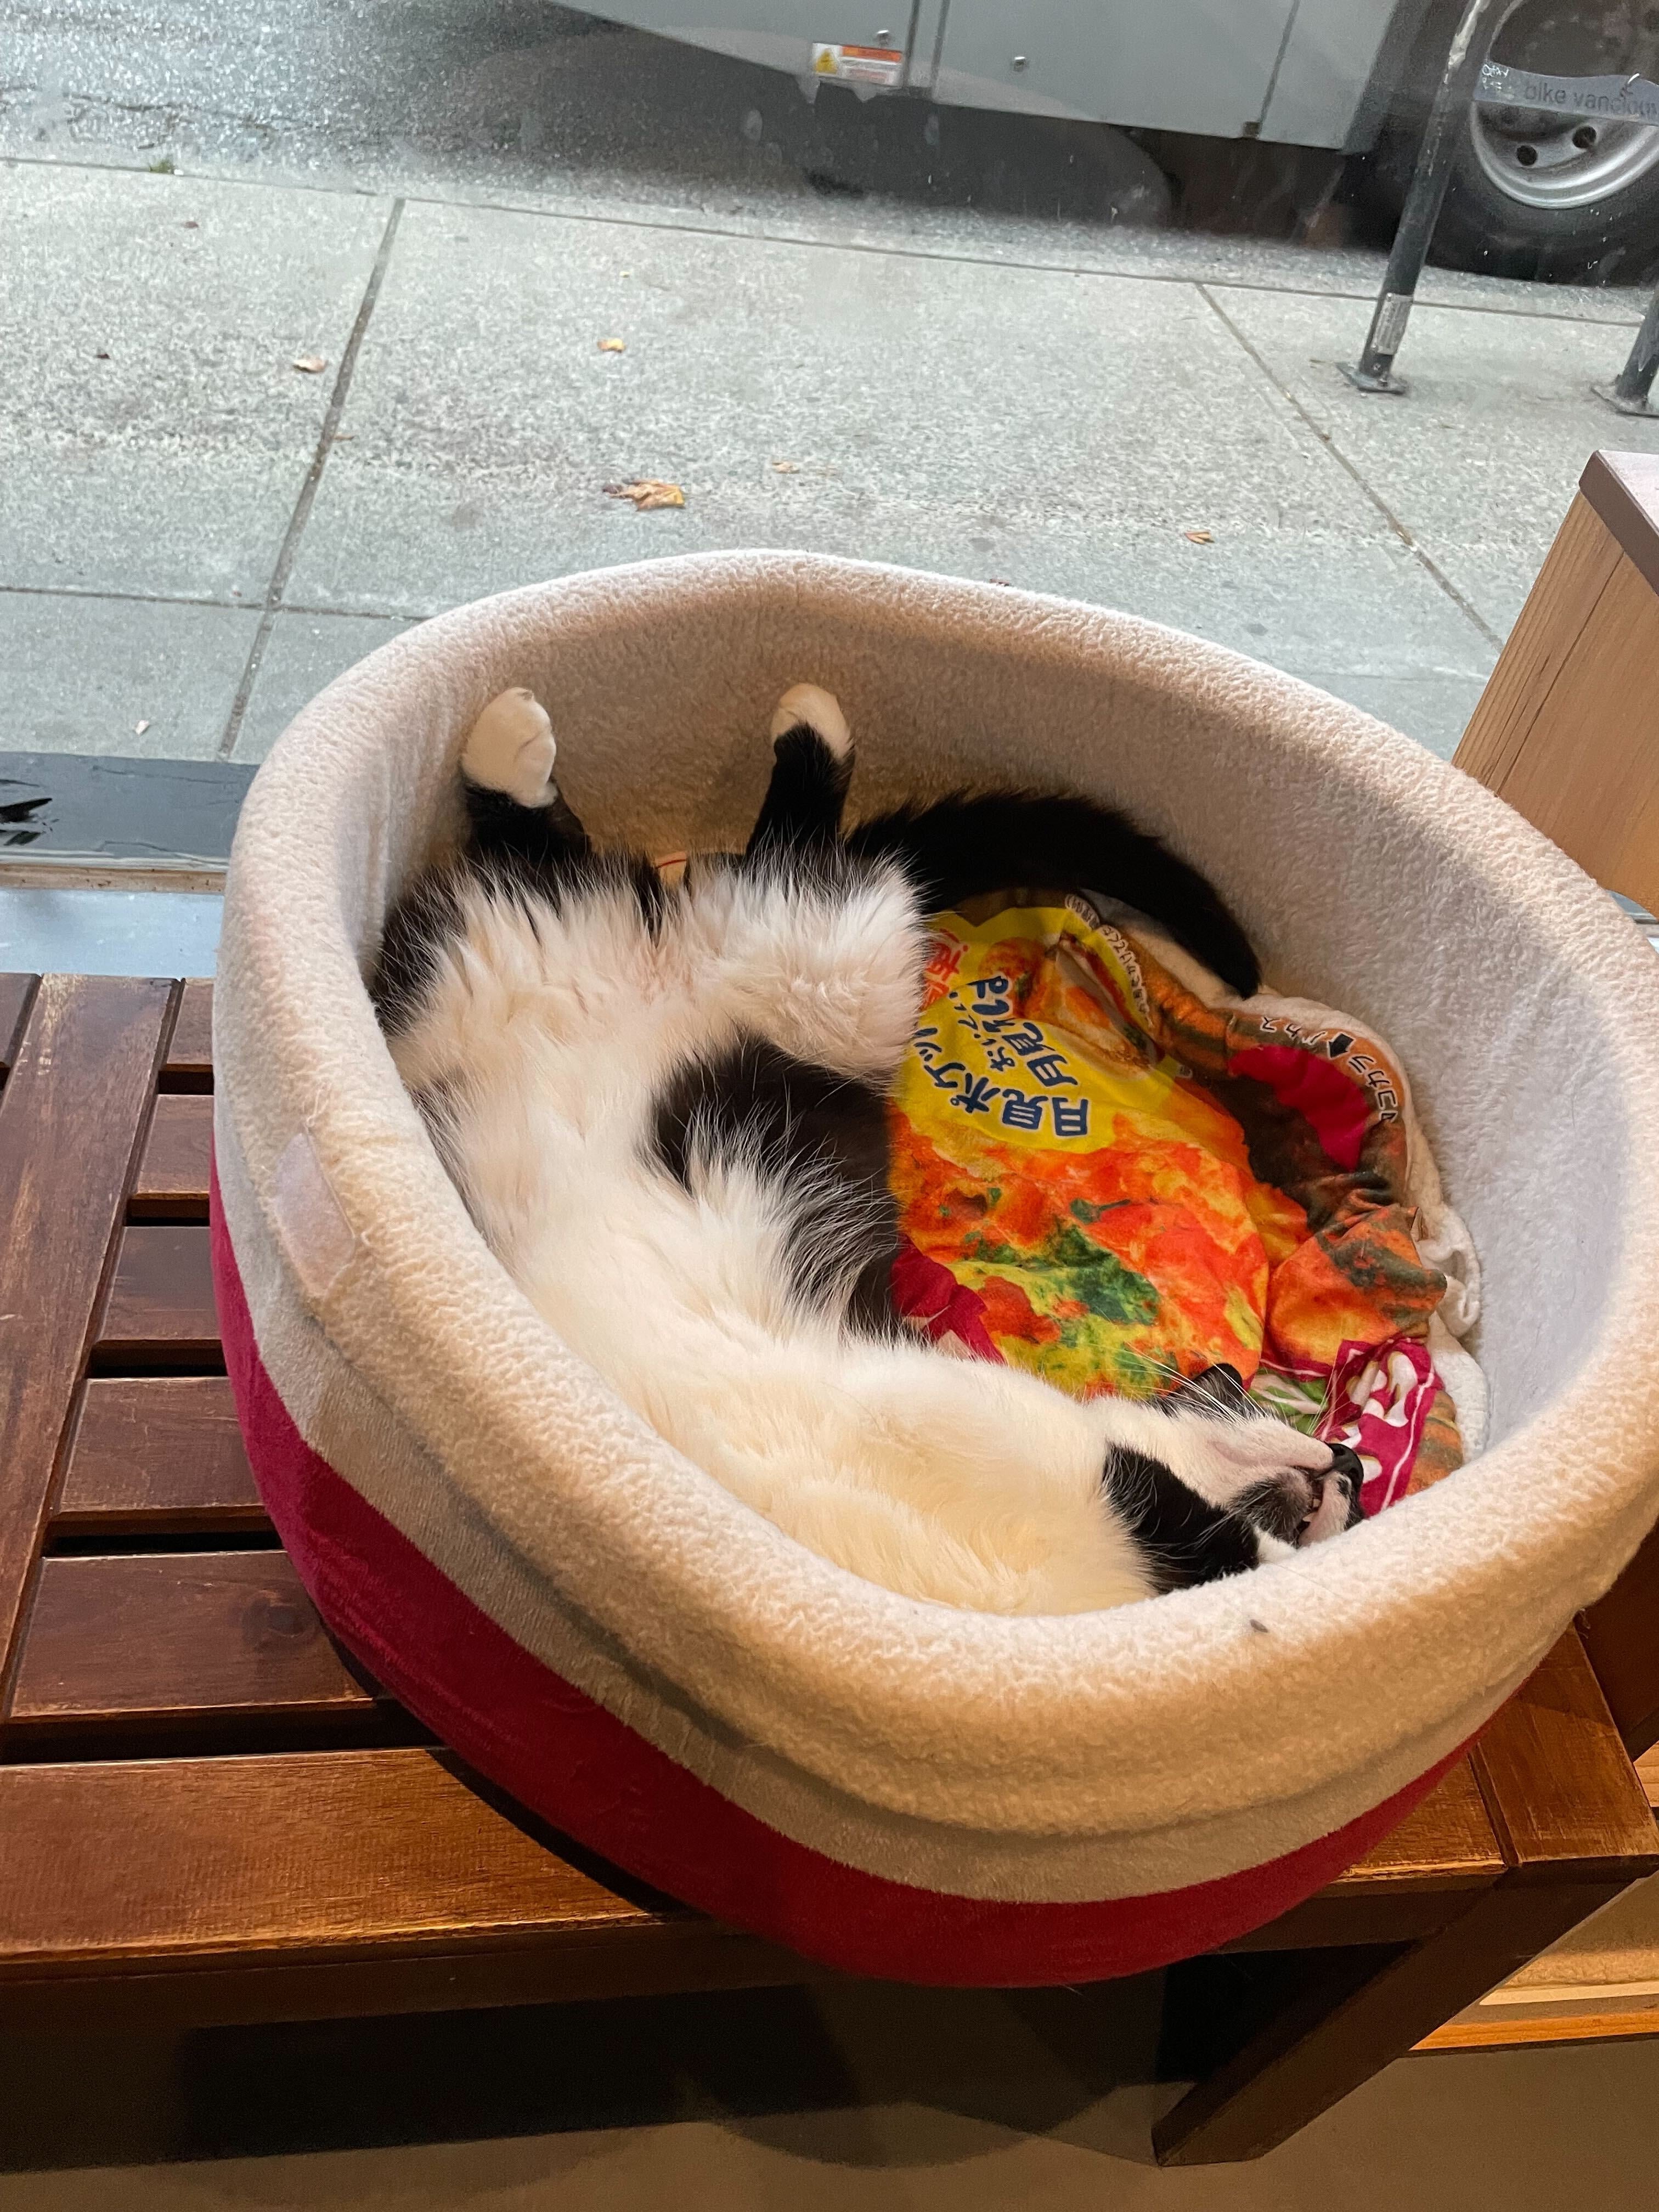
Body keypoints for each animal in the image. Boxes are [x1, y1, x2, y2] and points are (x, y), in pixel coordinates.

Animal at [376, 681, 1362, 1619]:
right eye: (1233, 1387)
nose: (1349, 1459)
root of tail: (666, 952)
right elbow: (1198, 1522)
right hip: (835, 975)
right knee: (813, 857)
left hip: (684, 972)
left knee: (645, 860)